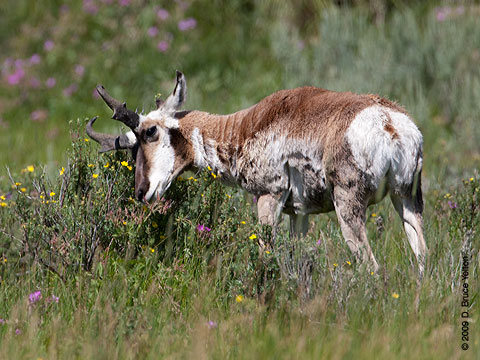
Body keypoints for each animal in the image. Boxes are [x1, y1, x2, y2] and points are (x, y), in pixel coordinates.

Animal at [88, 71, 426, 278]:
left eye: (150, 132)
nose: (141, 192)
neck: (244, 126)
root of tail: (388, 121)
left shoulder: (268, 197)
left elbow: (266, 254)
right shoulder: (299, 214)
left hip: (348, 207)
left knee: (372, 266)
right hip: (407, 200)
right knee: (423, 256)